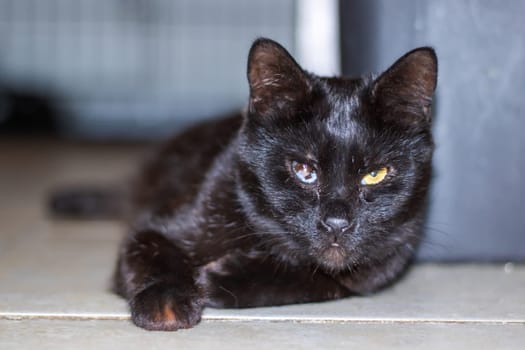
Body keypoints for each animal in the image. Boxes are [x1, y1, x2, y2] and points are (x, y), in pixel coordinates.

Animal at [112, 38, 436, 330]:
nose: (336, 223)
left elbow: (325, 279)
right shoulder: (156, 226)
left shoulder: (383, 263)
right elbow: (153, 251)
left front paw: (218, 279)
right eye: (304, 170)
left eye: (375, 174)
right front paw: (165, 303)